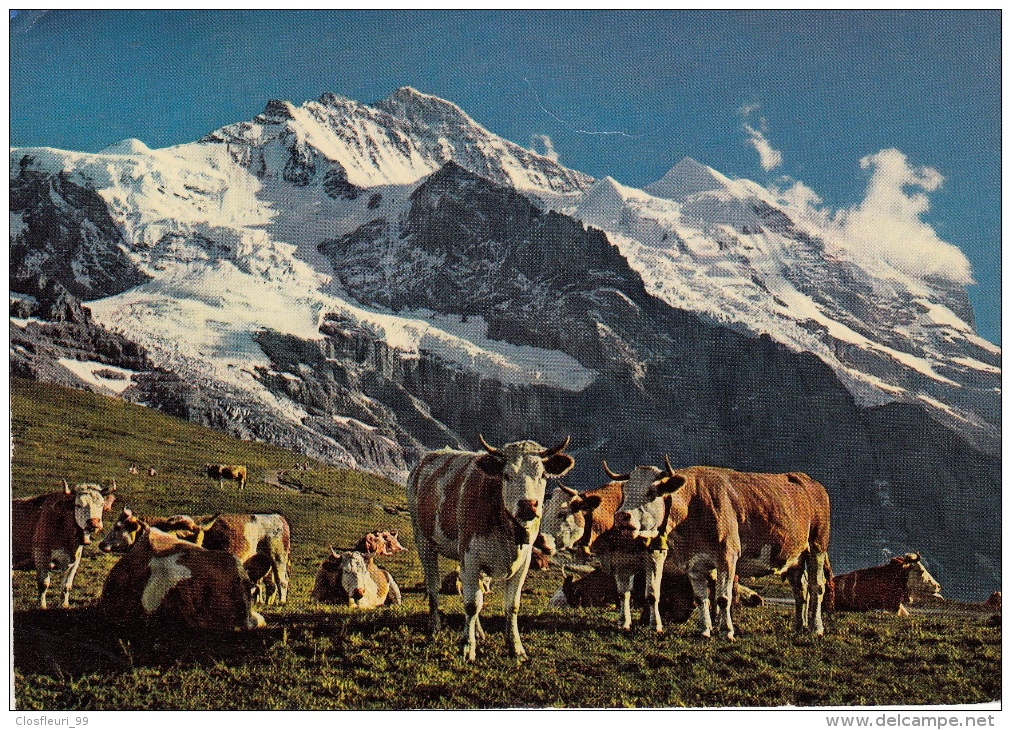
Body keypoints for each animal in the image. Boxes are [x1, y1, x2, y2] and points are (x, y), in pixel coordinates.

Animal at [11, 477, 116, 606]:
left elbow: (66, 586)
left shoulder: (75, 561)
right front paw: (42, 606)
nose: (94, 523)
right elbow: (43, 584)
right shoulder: (41, 556)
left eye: (101, 504)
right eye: (78, 505)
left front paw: (65, 605)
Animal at [406, 434, 574, 663]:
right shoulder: (470, 557)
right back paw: (435, 626)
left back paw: (478, 632)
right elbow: (471, 604)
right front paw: (468, 648)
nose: (528, 505)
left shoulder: (524, 562)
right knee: (433, 585)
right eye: (506, 475)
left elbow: (511, 605)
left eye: (542, 474)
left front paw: (516, 648)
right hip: (423, 539)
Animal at [610, 457, 833, 639]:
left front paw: (726, 631)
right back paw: (799, 625)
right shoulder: (694, 564)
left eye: (651, 492)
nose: (622, 516)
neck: (692, 507)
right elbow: (701, 598)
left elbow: (723, 597)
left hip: (817, 545)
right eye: (626, 492)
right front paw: (705, 629)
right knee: (800, 588)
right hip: (795, 556)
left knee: (816, 586)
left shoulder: (728, 556)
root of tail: (811, 482)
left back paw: (816, 628)